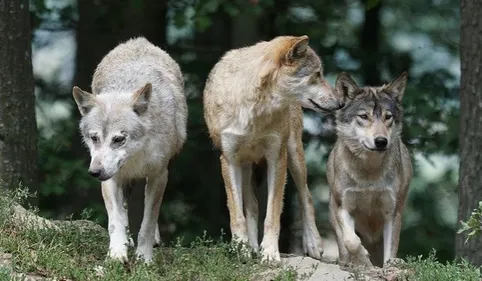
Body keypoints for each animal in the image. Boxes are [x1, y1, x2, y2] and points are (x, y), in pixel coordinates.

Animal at [72, 36, 187, 262]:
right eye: (94, 138)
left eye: (118, 139)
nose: (94, 172)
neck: (135, 157)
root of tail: (138, 40)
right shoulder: (111, 178)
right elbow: (115, 220)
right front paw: (117, 253)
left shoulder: (159, 175)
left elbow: (148, 222)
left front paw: (144, 257)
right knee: (123, 209)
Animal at [201, 34, 344, 260]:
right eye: (317, 74)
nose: (341, 102)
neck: (254, 109)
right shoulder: (229, 160)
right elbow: (237, 214)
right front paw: (241, 249)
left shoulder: (277, 157)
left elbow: (273, 214)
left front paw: (269, 253)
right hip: (246, 165)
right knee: (252, 205)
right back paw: (251, 248)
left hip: (294, 156)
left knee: (306, 196)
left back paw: (312, 243)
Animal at [328, 71, 414, 266]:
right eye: (364, 116)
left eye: (388, 117)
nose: (381, 141)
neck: (369, 172)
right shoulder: (343, 207)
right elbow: (351, 241)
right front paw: (362, 258)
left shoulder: (392, 212)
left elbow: (390, 252)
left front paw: (389, 264)